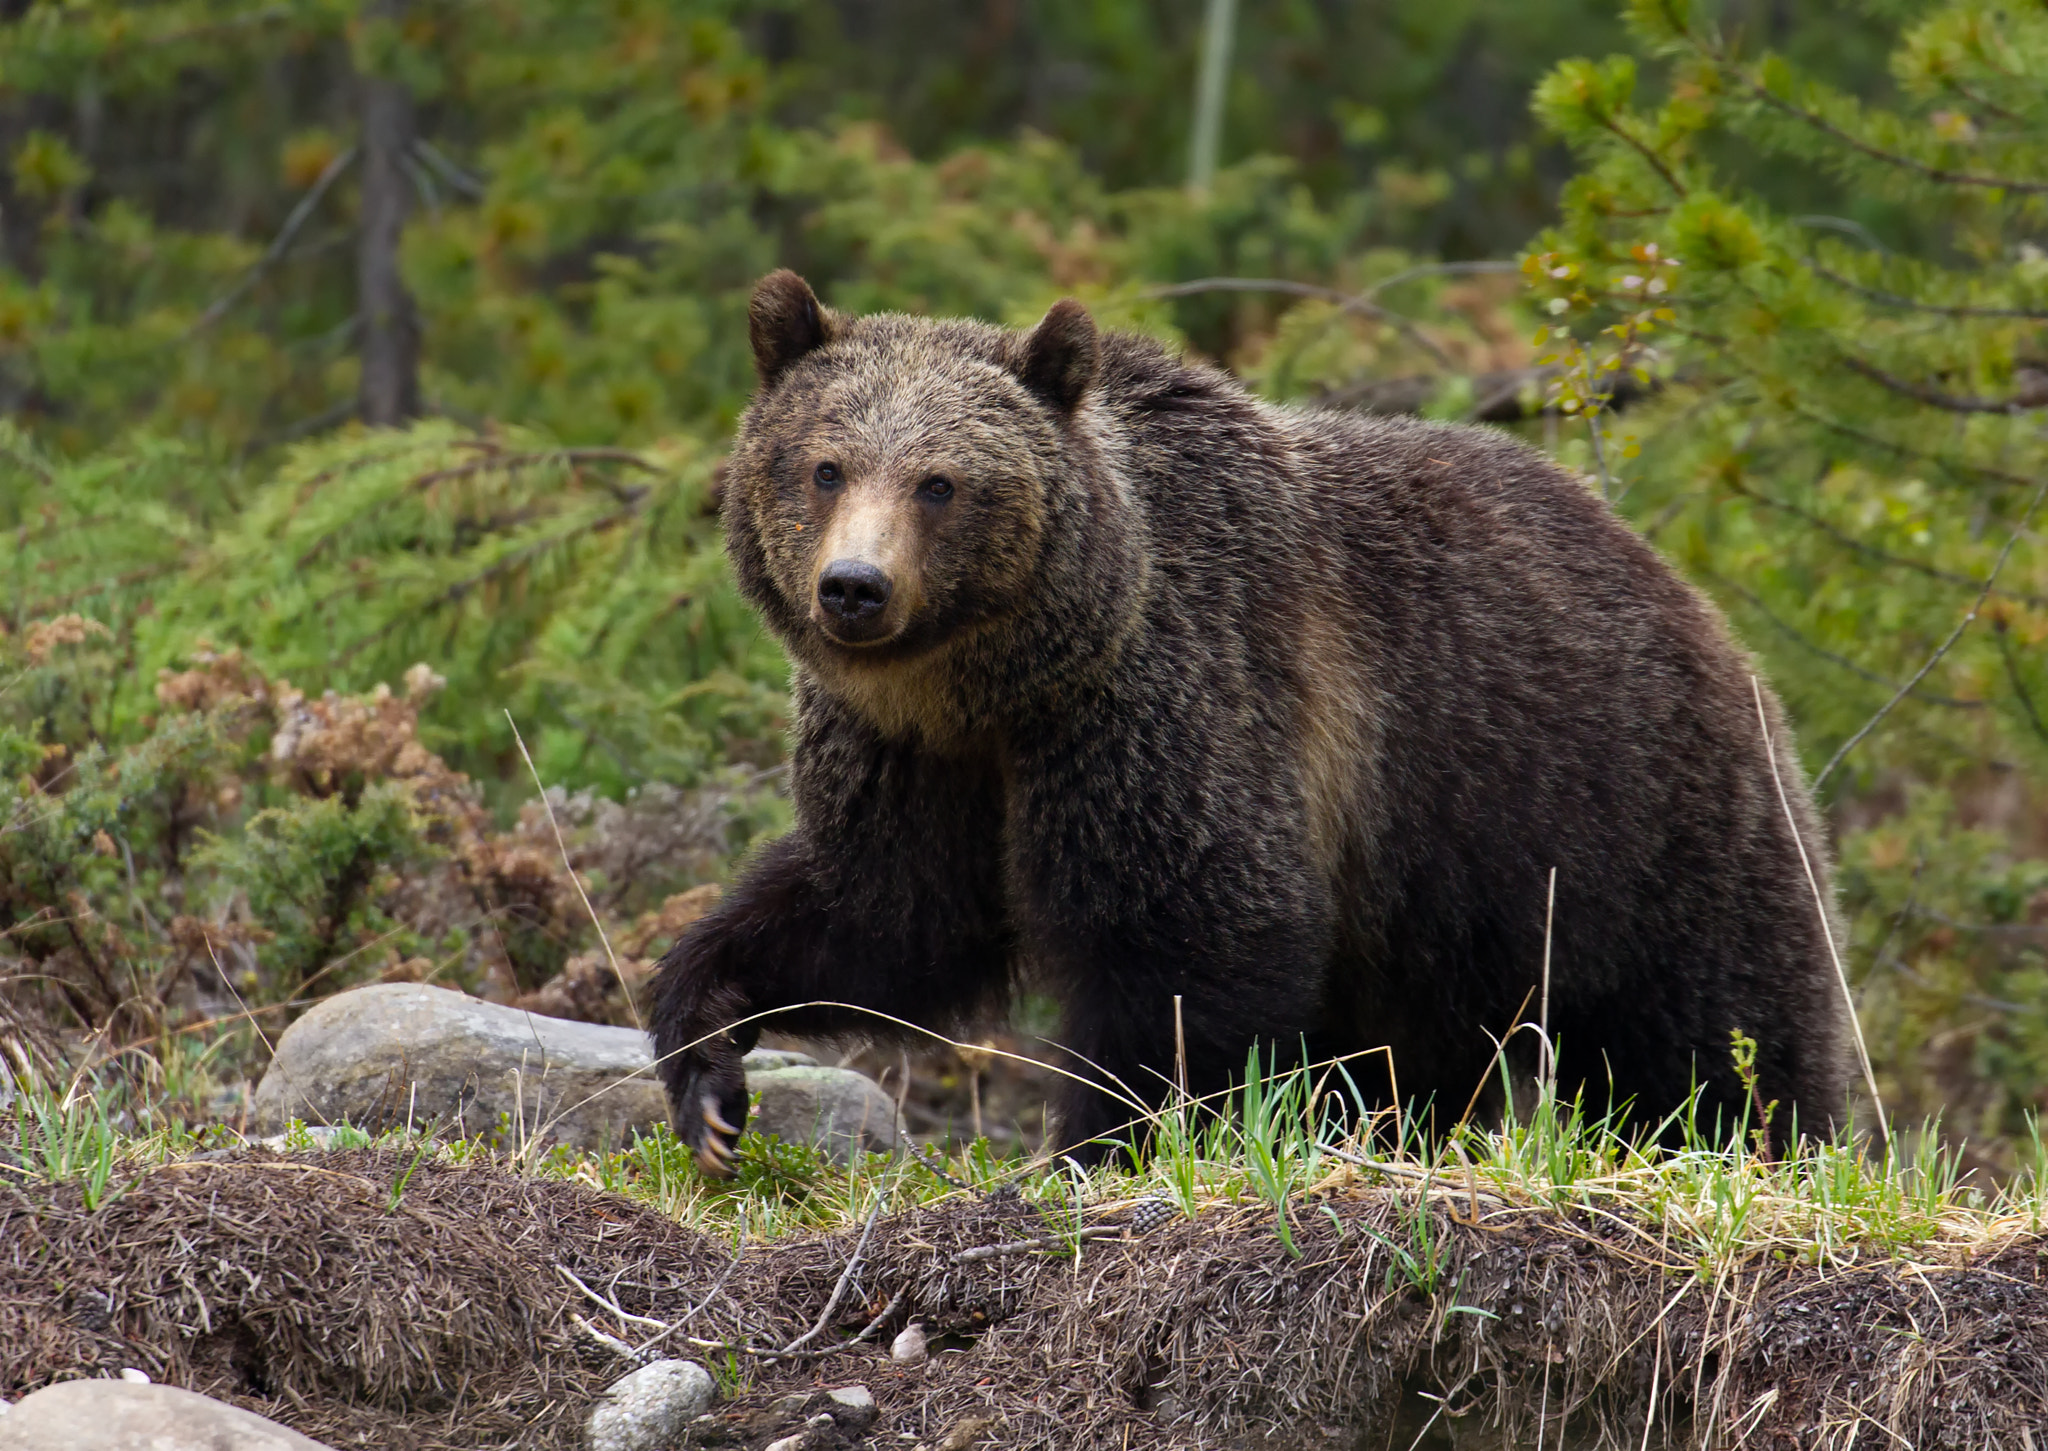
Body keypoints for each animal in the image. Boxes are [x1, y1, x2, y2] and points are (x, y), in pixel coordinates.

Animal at [651, 269, 1853, 1175]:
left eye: (942, 482)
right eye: (823, 464)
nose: (854, 587)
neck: (1000, 687)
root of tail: (1699, 606)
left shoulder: (1168, 706)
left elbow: (1190, 943)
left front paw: (1100, 1143)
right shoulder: (915, 760)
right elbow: (881, 914)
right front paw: (708, 1071)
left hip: (1623, 815)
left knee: (1713, 1039)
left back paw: (1756, 1139)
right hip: (1434, 911)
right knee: (1410, 1055)